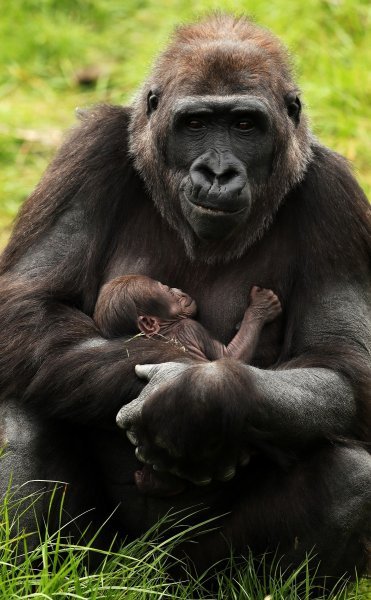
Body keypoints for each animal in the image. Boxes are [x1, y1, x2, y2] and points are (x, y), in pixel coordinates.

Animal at [93, 274, 282, 494]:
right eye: (166, 291)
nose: (176, 289)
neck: (165, 329)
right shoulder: (191, 327)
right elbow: (229, 357)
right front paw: (261, 307)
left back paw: (154, 482)